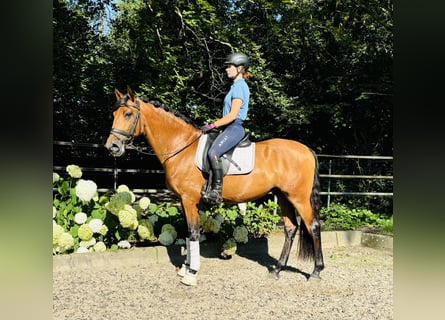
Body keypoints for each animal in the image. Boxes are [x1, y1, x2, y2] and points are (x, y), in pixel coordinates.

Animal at [106, 87, 324, 284]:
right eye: (114, 114)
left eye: (127, 114)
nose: (112, 147)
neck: (181, 147)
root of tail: (307, 150)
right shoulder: (184, 201)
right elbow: (188, 233)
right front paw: (185, 268)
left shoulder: (189, 199)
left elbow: (194, 233)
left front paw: (191, 273)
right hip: (283, 196)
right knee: (290, 228)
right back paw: (277, 269)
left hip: (298, 198)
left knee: (313, 226)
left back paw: (316, 272)